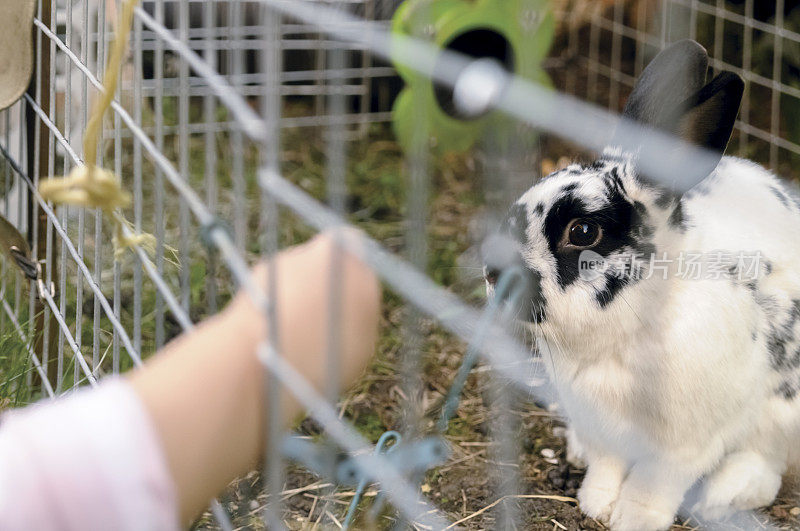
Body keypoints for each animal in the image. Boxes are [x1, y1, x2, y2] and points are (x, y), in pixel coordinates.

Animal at [484, 41, 800, 531]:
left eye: (582, 232)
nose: (491, 274)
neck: (625, 333)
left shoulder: (683, 444)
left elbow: (654, 483)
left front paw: (633, 519)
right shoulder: (601, 427)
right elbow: (607, 465)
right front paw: (595, 502)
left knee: (766, 467)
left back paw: (721, 495)